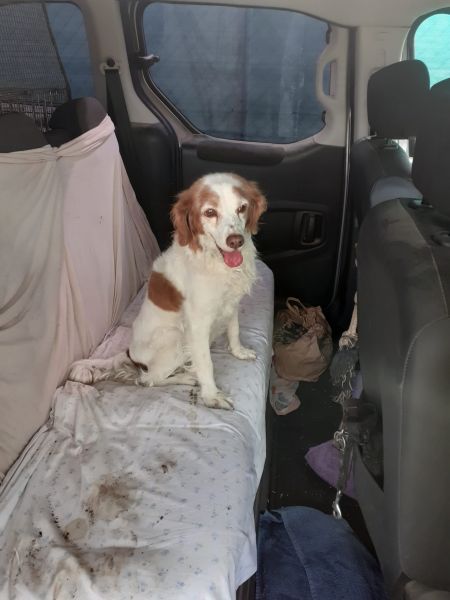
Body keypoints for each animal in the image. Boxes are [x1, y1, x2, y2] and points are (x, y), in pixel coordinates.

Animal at [68, 173, 267, 409]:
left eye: (242, 208)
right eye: (210, 212)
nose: (236, 241)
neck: (214, 261)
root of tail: (130, 353)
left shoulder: (231, 303)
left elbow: (234, 330)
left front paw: (238, 352)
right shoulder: (197, 323)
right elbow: (206, 363)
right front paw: (211, 396)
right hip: (175, 338)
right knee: (148, 379)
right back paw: (188, 377)